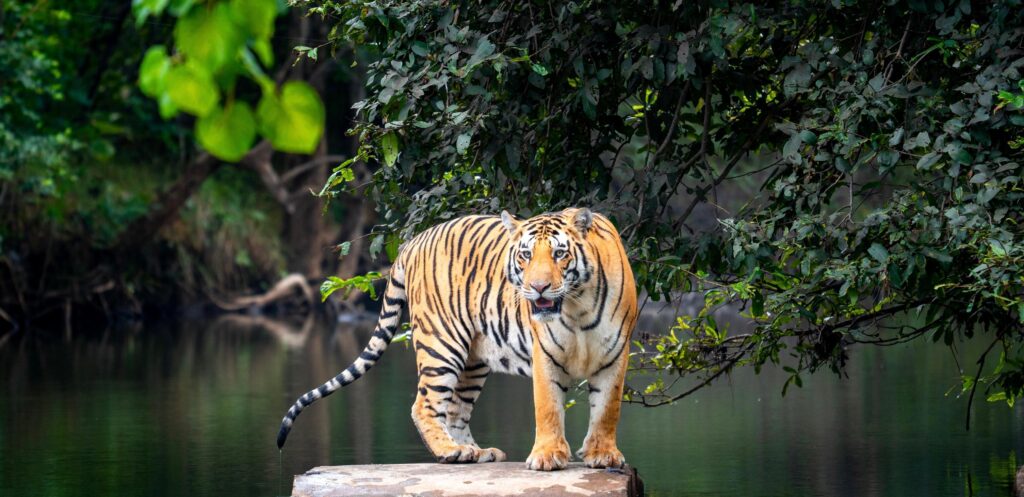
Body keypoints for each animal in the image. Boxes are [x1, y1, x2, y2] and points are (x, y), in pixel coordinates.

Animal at [275, 207, 638, 471]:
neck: (577, 308)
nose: (538, 287)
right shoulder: (546, 354)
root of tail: (413, 240)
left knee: (454, 410)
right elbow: (548, 407)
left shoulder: (615, 353)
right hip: (442, 345)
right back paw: (451, 451)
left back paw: (473, 451)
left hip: (473, 359)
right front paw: (548, 457)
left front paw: (602, 455)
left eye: (560, 254)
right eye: (525, 255)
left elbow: (607, 409)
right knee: (424, 405)